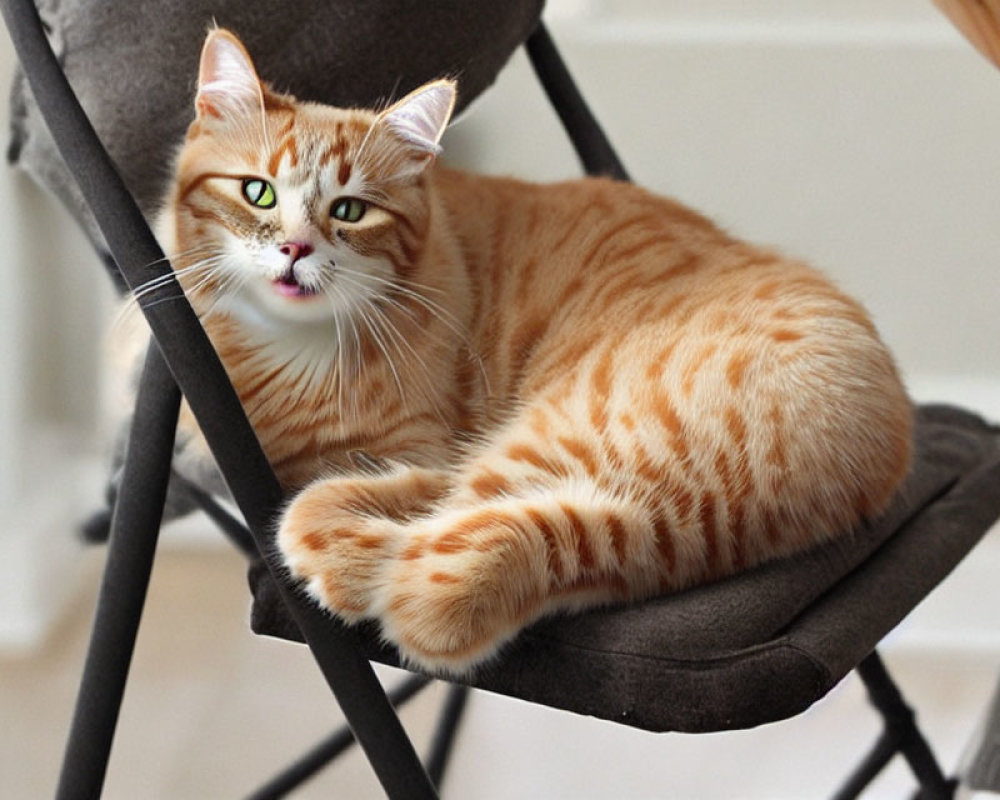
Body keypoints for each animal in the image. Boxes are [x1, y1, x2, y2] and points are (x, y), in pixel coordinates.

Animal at [146, 28, 916, 672]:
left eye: (350, 211)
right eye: (257, 192)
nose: (296, 249)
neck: (285, 355)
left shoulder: (422, 441)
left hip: (550, 426)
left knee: (413, 512)